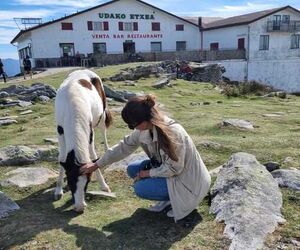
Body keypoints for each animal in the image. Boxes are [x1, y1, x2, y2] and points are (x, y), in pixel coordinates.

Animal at [53, 69, 112, 212]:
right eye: (70, 181)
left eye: (88, 182)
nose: (80, 207)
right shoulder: (60, 131)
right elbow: (61, 157)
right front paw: (58, 190)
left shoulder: (89, 133)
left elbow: (93, 156)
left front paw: (103, 185)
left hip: (101, 116)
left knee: (103, 132)